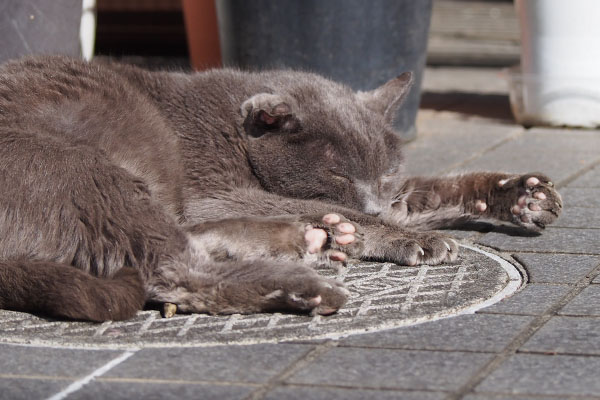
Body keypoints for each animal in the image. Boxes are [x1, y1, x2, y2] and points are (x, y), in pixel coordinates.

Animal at [0, 55, 564, 322]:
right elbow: (321, 203)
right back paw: (302, 283)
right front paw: (401, 237)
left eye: (383, 174)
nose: (375, 200)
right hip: (85, 169)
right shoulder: (209, 189)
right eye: (338, 174)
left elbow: (428, 192)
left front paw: (520, 192)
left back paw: (302, 240)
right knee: (171, 268)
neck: (231, 131)